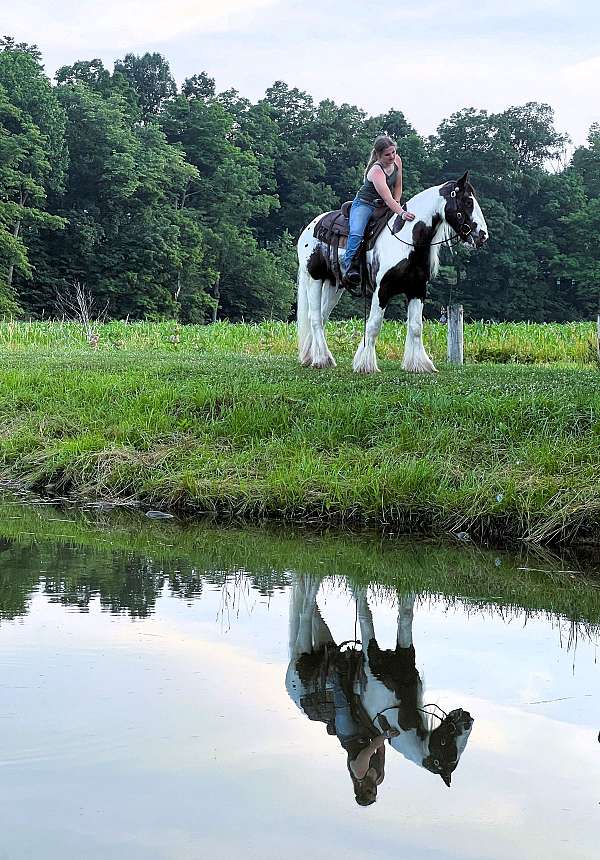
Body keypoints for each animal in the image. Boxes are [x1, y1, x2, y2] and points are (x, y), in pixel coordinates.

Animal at [286, 576, 474, 796]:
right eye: (446, 743)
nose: (468, 719)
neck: (397, 712)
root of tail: (292, 690)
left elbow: (406, 615)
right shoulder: (371, 660)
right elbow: (365, 614)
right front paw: (357, 586)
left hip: (324, 641)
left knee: (310, 608)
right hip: (302, 652)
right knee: (305, 612)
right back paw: (311, 581)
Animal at [296, 174, 488, 372]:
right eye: (467, 201)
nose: (483, 235)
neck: (407, 239)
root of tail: (311, 226)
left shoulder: (417, 290)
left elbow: (416, 326)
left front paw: (419, 365)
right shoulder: (382, 289)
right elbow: (374, 324)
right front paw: (366, 364)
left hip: (334, 285)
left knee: (322, 316)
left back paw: (313, 356)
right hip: (314, 278)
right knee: (315, 317)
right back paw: (322, 359)